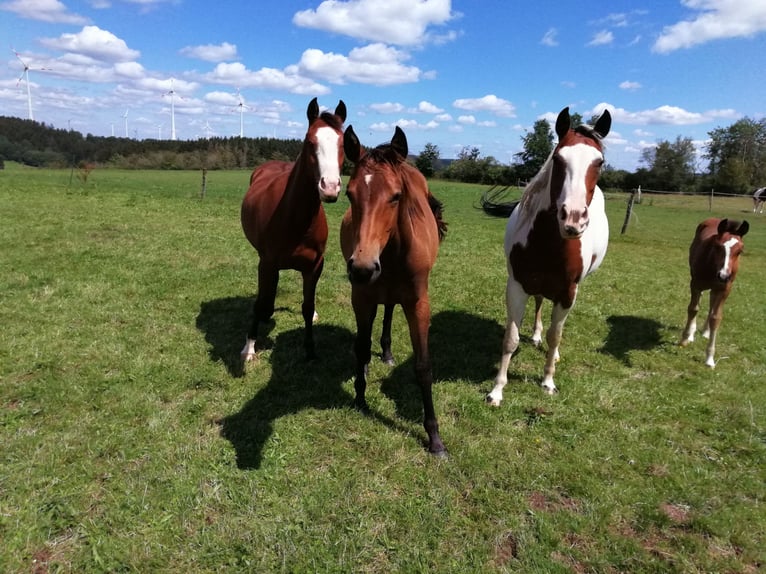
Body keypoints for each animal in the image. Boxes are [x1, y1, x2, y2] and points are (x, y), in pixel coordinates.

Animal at [240, 97, 346, 361]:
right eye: (310, 142)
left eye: (343, 143)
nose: (330, 187)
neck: (295, 218)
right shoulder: (266, 262)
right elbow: (260, 303)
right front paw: (249, 347)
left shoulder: (315, 266)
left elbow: (307, 307)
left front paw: (310, 349)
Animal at [340, 125, 448, 456]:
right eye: (349, 194)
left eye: (396, 196)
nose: (362, 267)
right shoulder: (361, 297)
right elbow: (362, 347)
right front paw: (360, 398)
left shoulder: (419, 304)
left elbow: (423, 367)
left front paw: (435, 438)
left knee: (389, 310)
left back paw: (386, 352)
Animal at [481, 106, 612, 402]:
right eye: (558, 158)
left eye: (599, 162)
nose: (573, 219)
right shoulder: (517, 286)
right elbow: (511, 339)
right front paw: (497, 390)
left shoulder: (568, 294)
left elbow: (556, 336)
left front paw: (548, 381)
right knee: (540, 302)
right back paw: (536, 335)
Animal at [679, 217, 749, 368]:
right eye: (717, 247)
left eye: (740, 251)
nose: (723, 275)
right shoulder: (695, 284)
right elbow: (693, 309)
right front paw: (684, 339)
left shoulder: (724, 290)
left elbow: (715, 317)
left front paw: (710, 358)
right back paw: (692, 333)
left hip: (715, 289)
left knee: (711, 305)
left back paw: (706, 332)